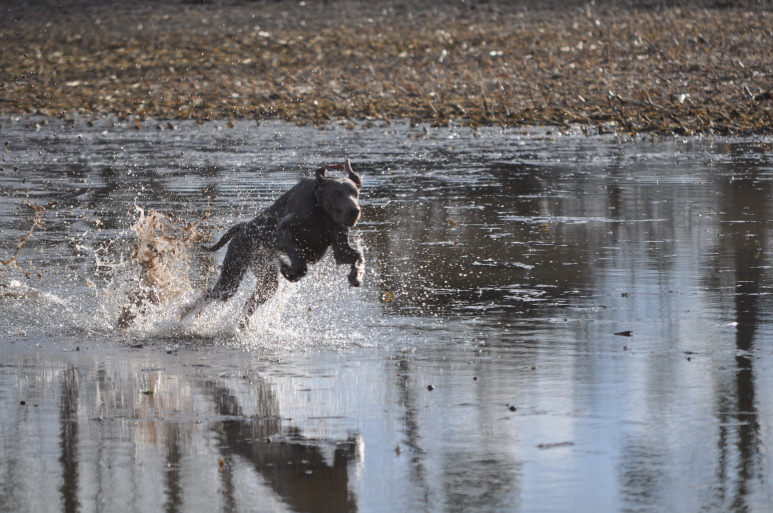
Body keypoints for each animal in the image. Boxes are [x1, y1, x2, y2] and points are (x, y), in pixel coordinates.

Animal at [179, 157, 364, 324]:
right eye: (336, 193)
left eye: (355, 193)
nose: (355, 211)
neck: (320, 211)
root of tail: (243, 226)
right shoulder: (284, 232)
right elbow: (299, 264)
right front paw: (289, 269)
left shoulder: (340, 244)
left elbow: (357, 256)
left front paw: (356, 275)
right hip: (232, 276)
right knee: (211, 294)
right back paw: (184, 315)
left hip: (265, 277)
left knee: (251, 301)